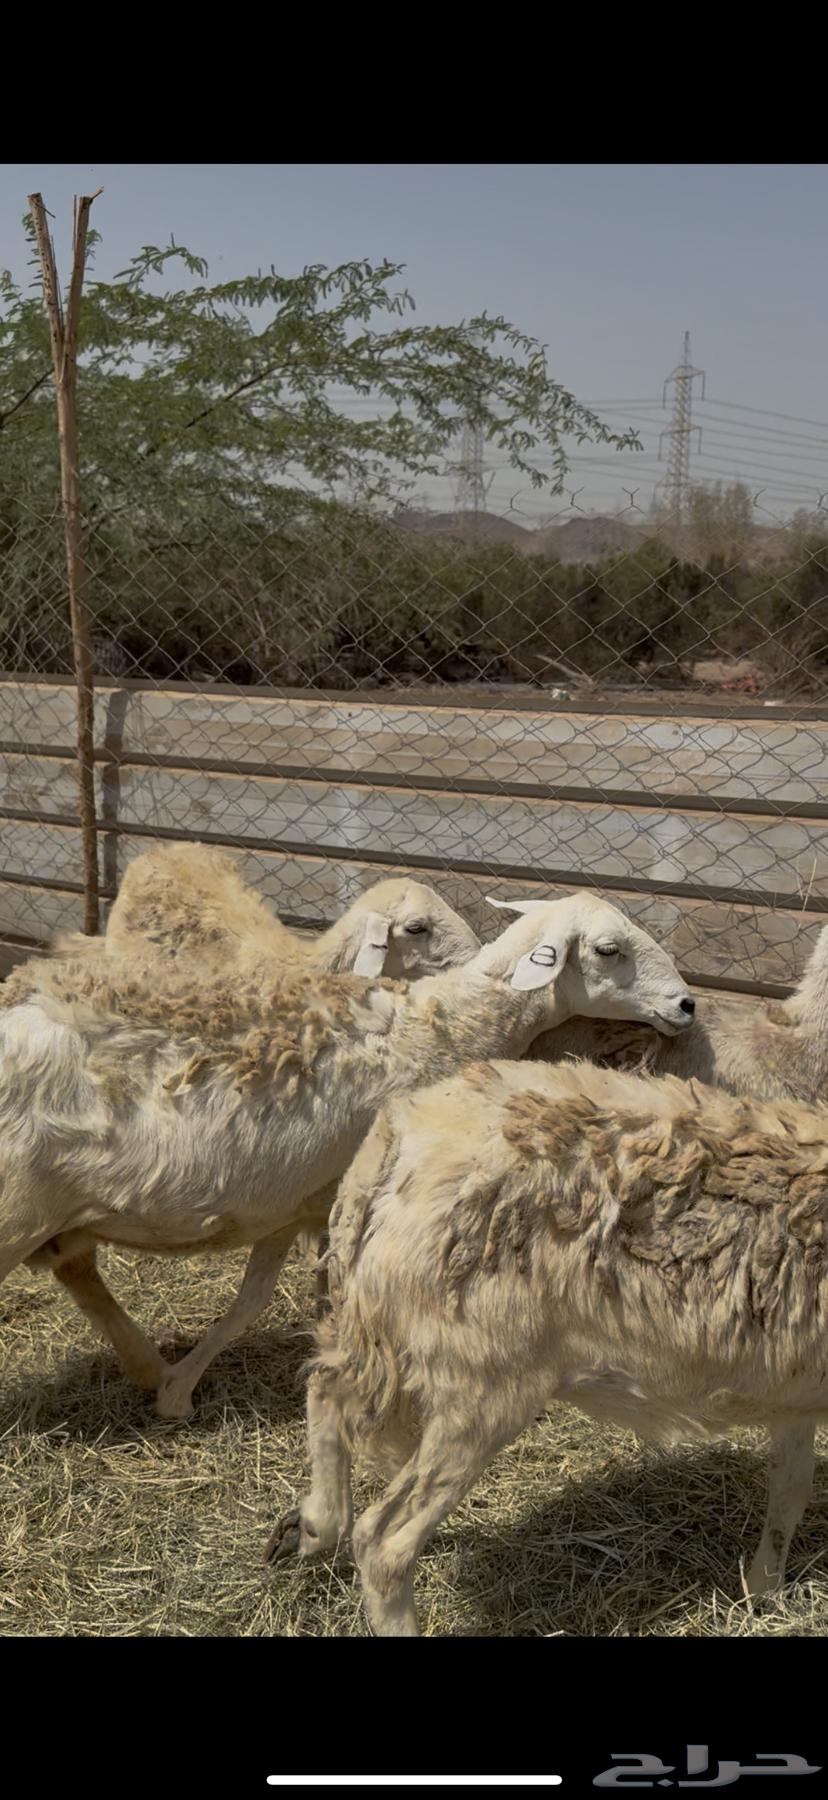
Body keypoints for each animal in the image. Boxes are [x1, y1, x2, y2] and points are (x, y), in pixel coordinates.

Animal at [0, 893, 693, 1422]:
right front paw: (185, 1390)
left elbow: (267, 1296)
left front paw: (190, 1383)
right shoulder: (349, 1191)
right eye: (609, 949)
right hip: (15, 1211)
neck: (442, 1027)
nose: (687, 1004)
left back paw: (142, 1362)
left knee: (80, 1270)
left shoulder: (296, 1202)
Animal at [266, 1056, 828, 1635]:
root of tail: (396, 1142)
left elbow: (791, 1488)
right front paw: (766, 1588)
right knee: (384, 1542)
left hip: (370, 1324)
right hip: (481, 1379)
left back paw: (311, 1527)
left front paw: (763, 1588)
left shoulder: (793, 1391)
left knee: (325, 1387)